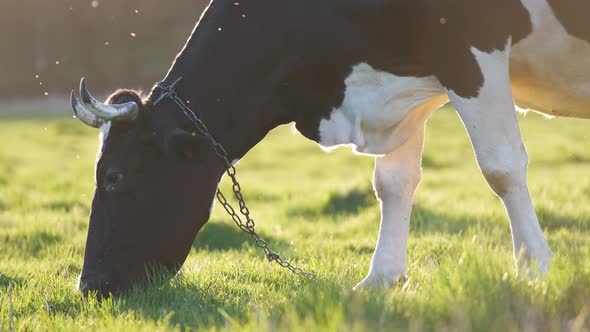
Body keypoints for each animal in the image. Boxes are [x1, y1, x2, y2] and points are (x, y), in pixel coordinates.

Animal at [71, 0, 590, 296]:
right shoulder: (409, 78)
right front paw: (381, 279)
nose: (89, 286)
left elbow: (500, 167)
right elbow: (393, 183)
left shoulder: (470, 47)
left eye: (114, 177)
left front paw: (534, 270)